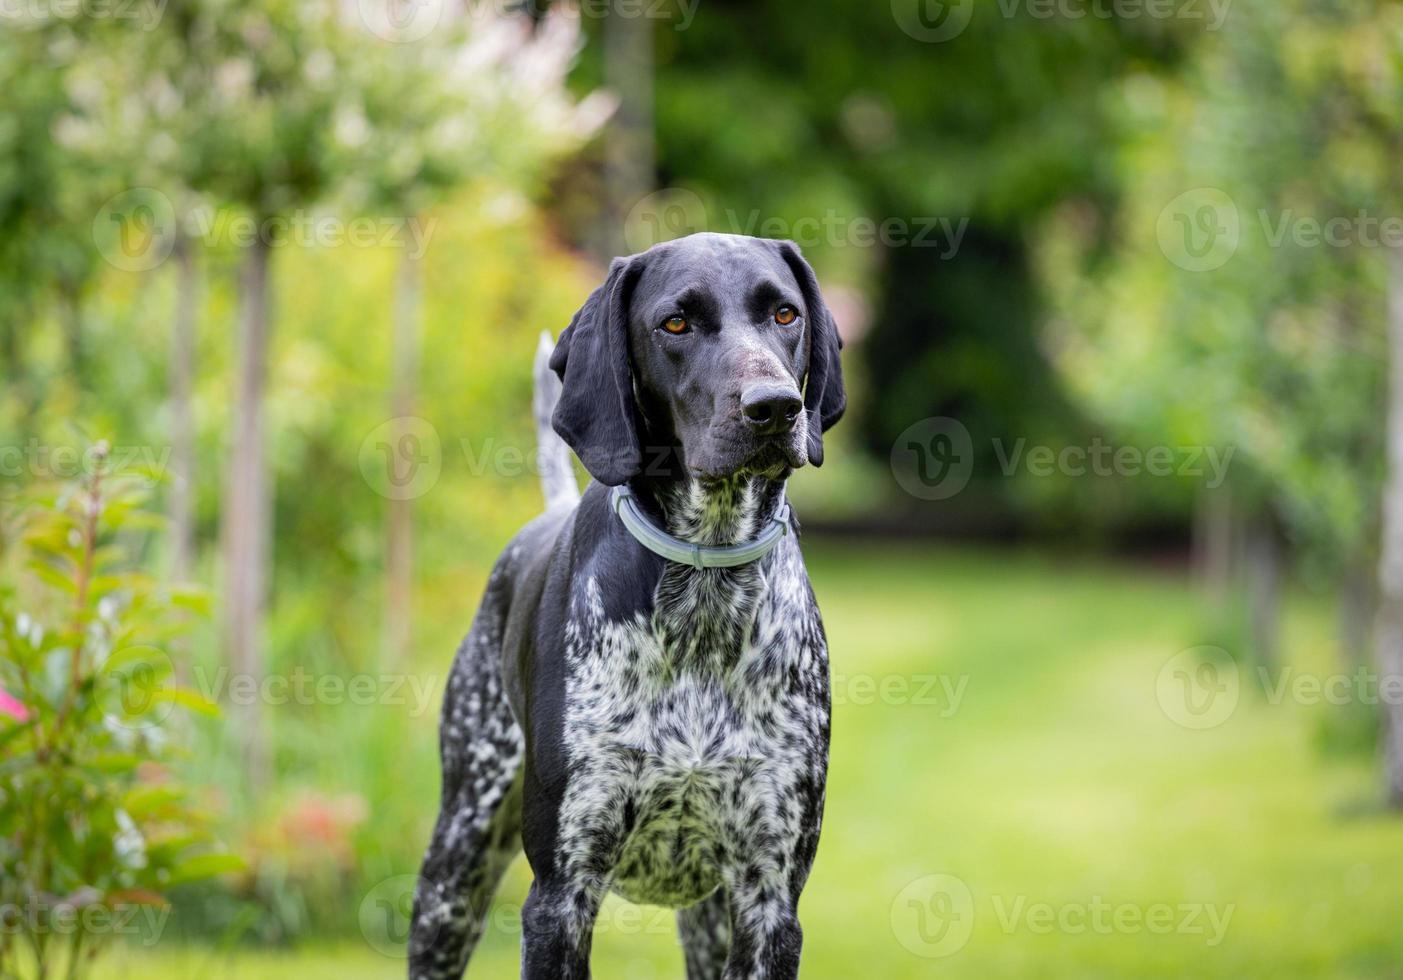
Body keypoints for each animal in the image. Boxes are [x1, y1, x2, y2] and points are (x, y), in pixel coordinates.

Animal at [406, 234, 841, 975]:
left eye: (785, 314)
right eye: (675, 323)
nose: (775, 407)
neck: (705, 589)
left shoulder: (769, 901)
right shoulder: (561, 896)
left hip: (710, 920)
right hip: (453, 873)